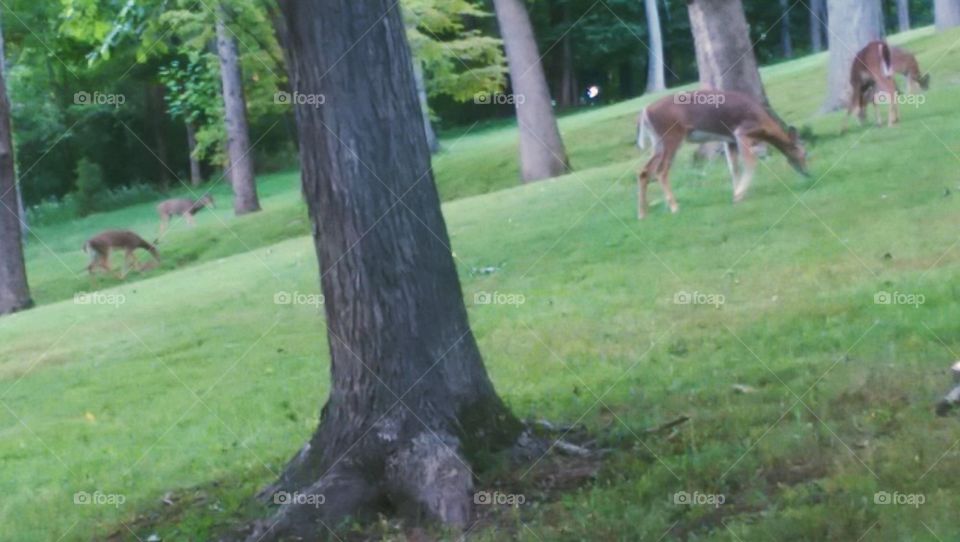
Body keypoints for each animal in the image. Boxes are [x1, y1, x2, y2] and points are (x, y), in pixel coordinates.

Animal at [635, 90, 808, 220]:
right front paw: (739, 195)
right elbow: (750, 163)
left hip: (658, 142)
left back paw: (642, 214)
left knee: (644, 171)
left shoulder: (729, 140)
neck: (763, 125)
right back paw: (674, 207)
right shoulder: (741, 132)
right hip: (672, 136)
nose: (808, 174)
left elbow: (734, 167)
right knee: (661, 171)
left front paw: (738, 194)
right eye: (805, 153)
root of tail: (645, 112)